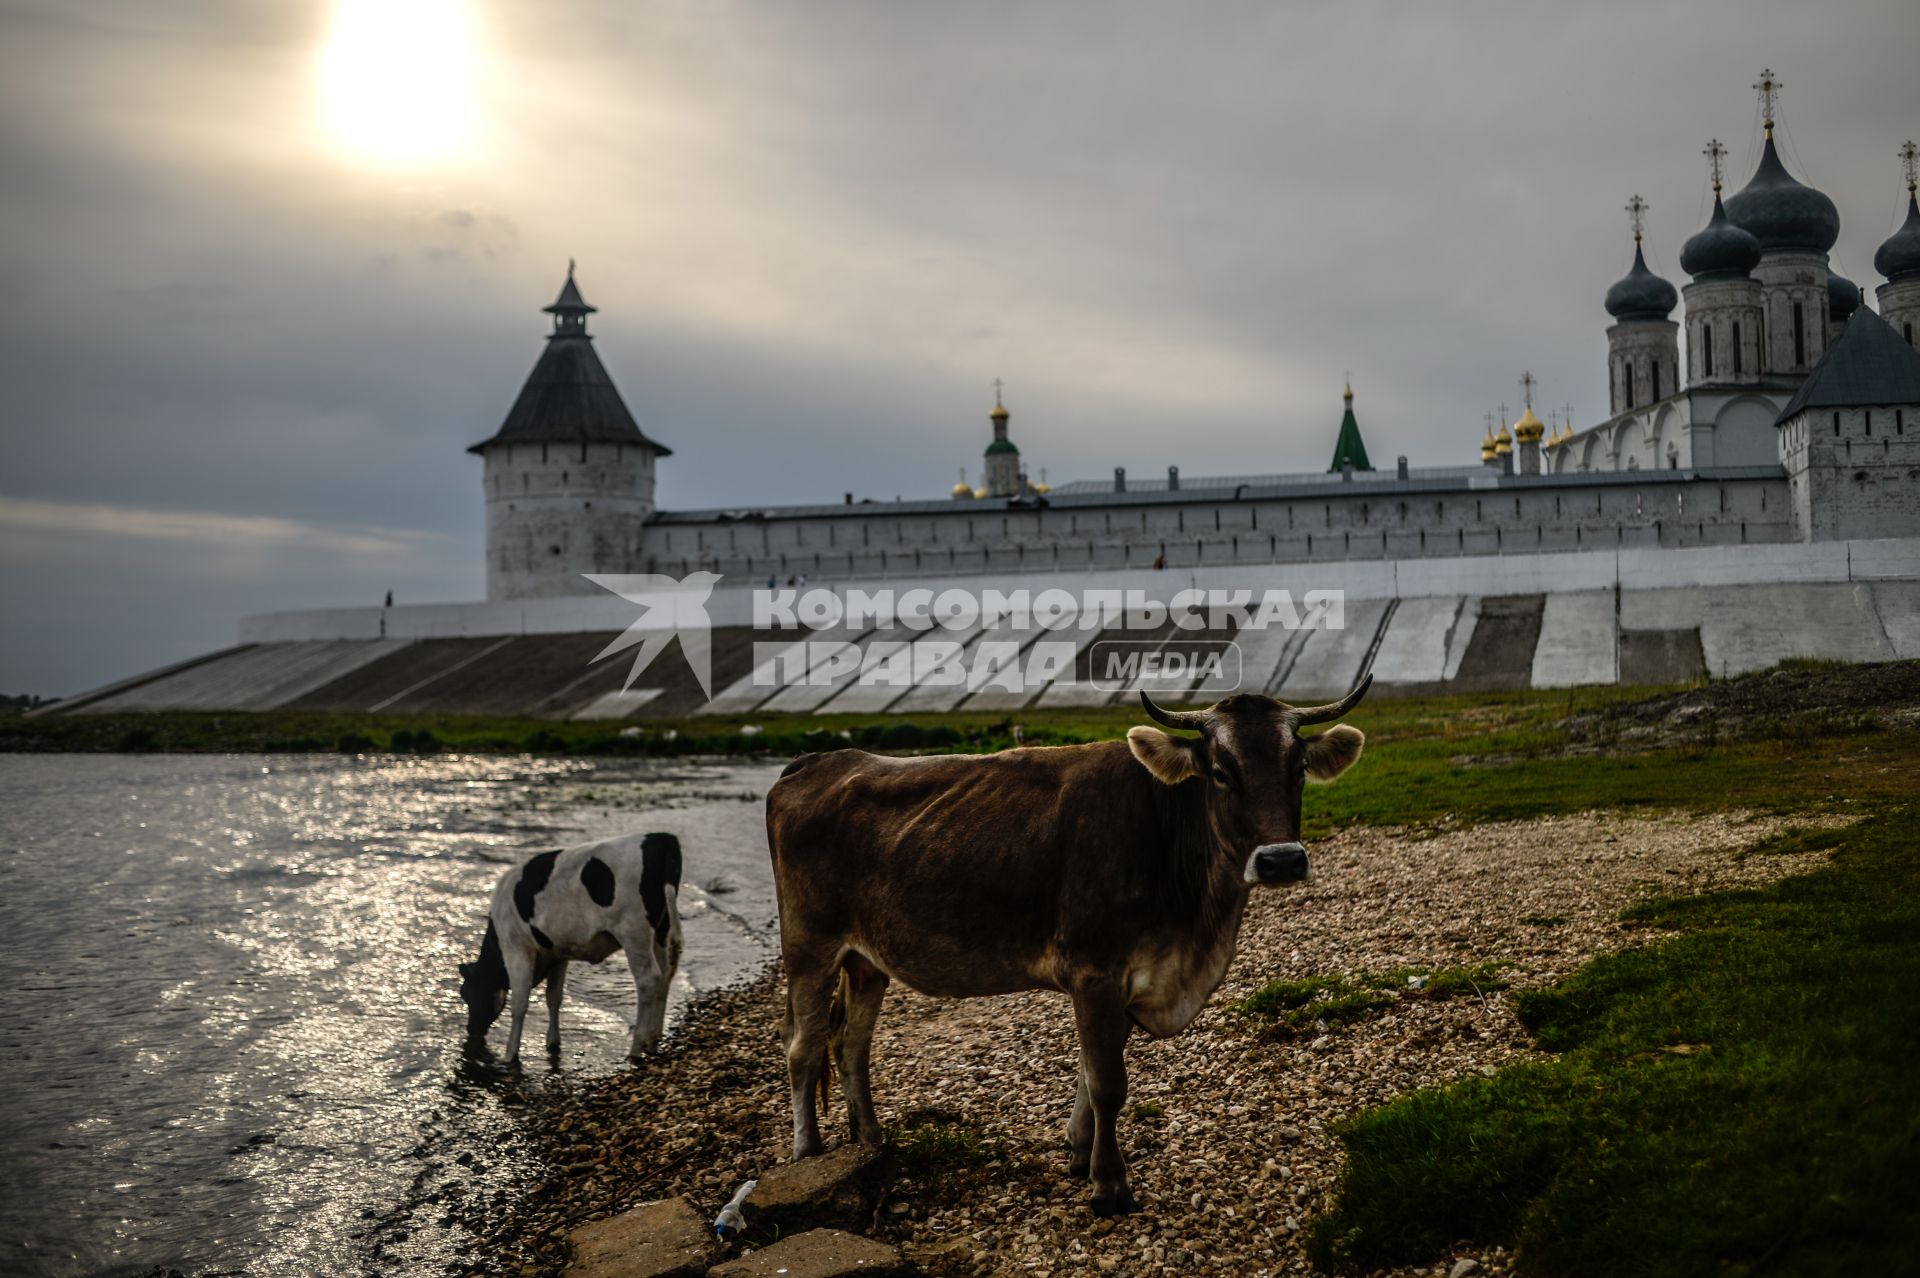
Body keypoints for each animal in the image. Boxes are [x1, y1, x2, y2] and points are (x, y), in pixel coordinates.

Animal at [456, 832, 683, 1059]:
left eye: (466, 993)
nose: (471, 1029)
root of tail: (661, 837)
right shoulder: (557, 954)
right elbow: (554, 997)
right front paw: (553, 1041)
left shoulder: (517, 949)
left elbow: (519, 1004)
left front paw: (510, 1054)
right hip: (660, 931)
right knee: (665, 974)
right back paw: (653, 1040)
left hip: (634, 932)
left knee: (648, 980)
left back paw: (636, 1048)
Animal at [756, 671, 1374, 1212]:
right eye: (1221, 772)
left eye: (1298, 769)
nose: (1281, 860)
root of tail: (822, 759)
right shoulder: (1095, 967)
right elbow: (1107, 1082)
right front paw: (1109, 1185)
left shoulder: (1128, 973)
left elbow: (1090, 1069)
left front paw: (1080, 1151)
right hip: (808, 946)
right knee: (803, 1045)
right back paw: (807, 1159)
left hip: (866, 959)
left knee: (852, 1042)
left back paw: (871, 1144)